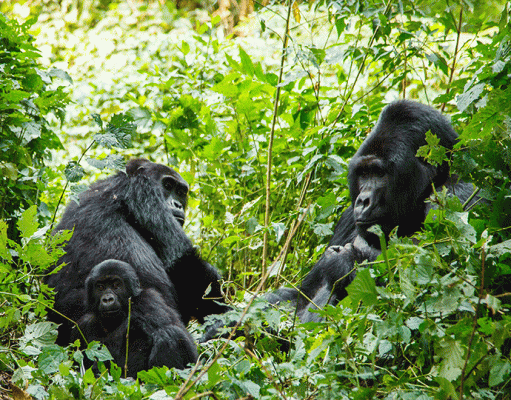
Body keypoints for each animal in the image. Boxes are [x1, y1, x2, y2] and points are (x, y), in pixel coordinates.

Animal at [46, 159, 230, 366]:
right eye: (168, 185)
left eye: (181, 192)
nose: (177, 204)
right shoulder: (143, 191)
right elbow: (185, 262)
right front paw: (225, 322)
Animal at [270, 100, 478, 322]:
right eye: (363, 173)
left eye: (379, 173)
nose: (362, 201)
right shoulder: (348, 219)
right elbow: (300, 295)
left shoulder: (458, 196)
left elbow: (442, 289)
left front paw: (344, 263)